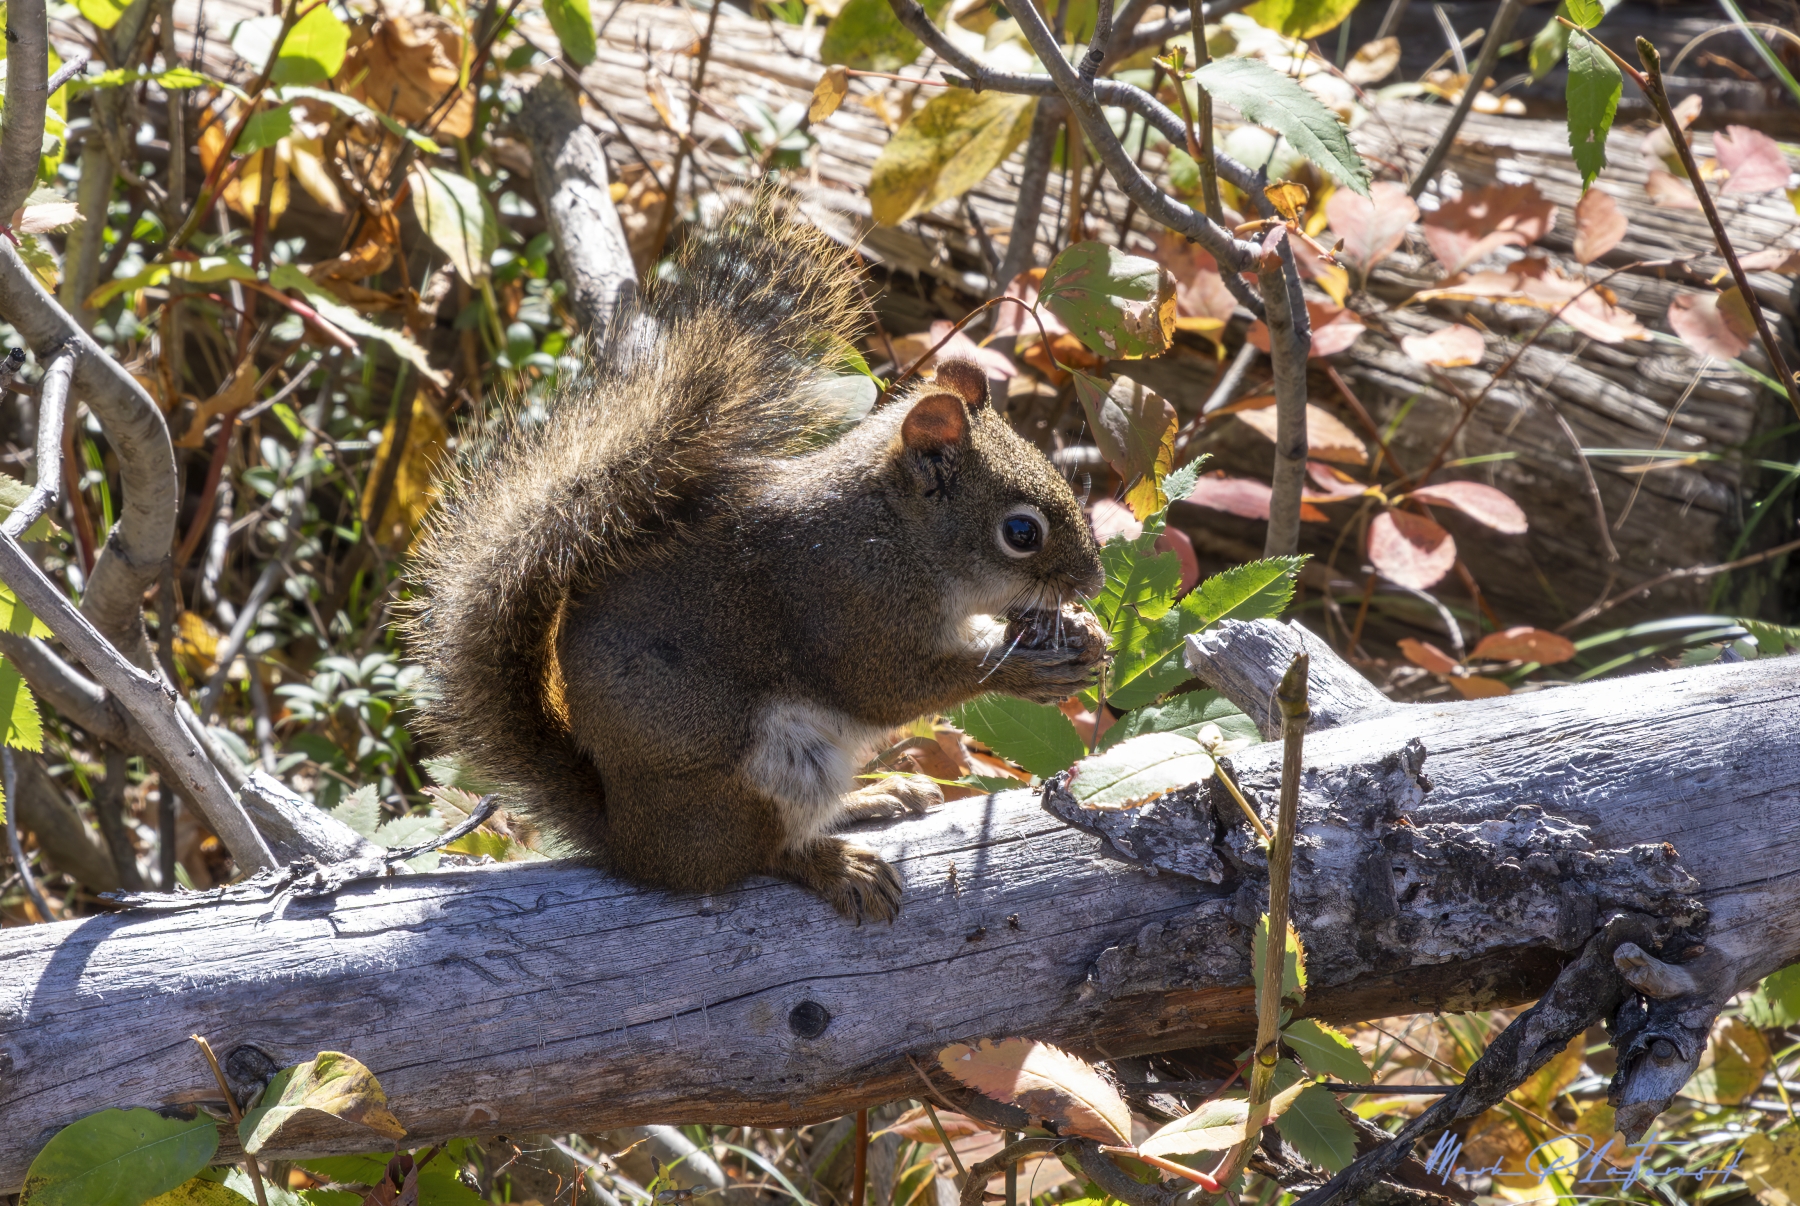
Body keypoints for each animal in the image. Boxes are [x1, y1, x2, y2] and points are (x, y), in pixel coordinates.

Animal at [407, 199, 1106, 923]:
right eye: (1021, 532)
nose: (1094, 580)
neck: (896, 533)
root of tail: (628, 840)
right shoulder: (845, 602)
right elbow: (893, 687)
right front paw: (1025, 669)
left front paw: (1082, 632)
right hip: (757, 771)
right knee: (753, 857)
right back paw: (834, 861)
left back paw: (875, 795)